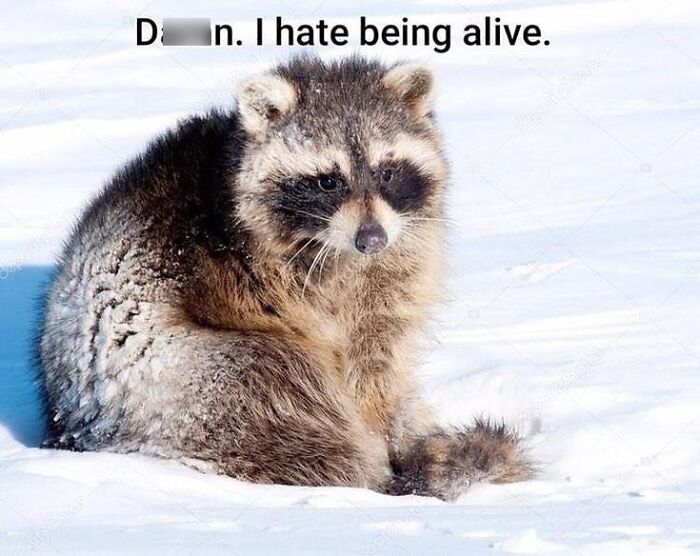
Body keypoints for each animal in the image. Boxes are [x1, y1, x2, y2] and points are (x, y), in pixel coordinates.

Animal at [38, 56, 531, 501]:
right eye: (328, 181)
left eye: (387, 171)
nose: (371, 239)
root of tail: (73, 427)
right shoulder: (268, 275)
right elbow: (340, 352)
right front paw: (382, 446)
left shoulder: (394, 262)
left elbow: (378, 353)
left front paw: (394, 427)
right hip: (189, 383)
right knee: (283, 375)